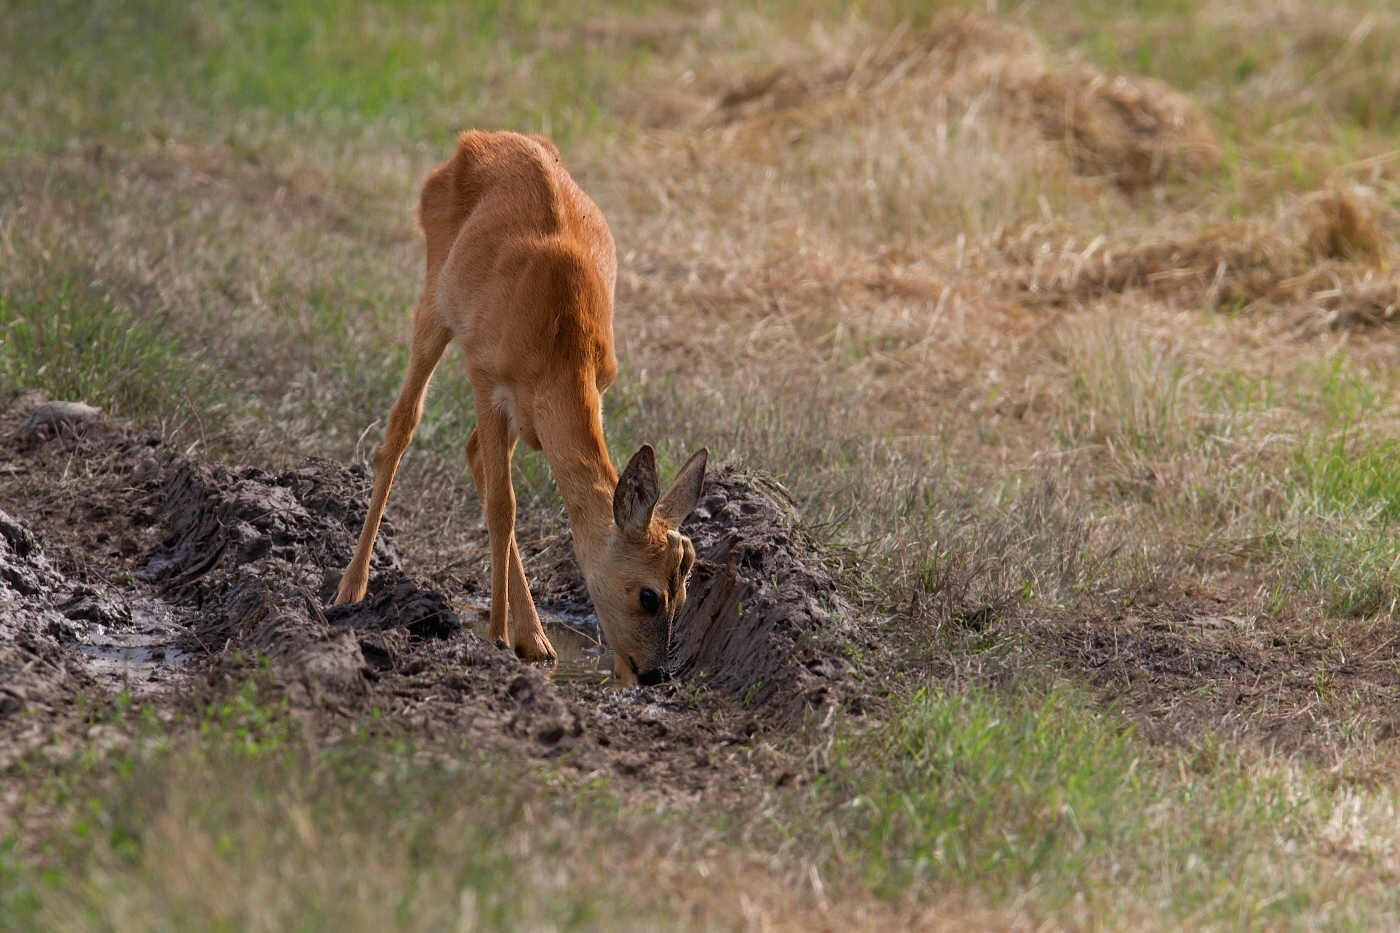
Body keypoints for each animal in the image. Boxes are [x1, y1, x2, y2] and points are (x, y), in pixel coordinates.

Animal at [331, 128, 705, 683]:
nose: (654, 673)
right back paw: (350, 589)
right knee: (401, 428)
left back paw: (536, 639)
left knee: (470, 451)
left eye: (684, 594)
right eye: (648, 595)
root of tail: (476, 140)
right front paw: (493, 642)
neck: (562, 345)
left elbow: (498, 489)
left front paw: (527, 641)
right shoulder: (486, 375)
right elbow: (502, 506)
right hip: (435, 299)